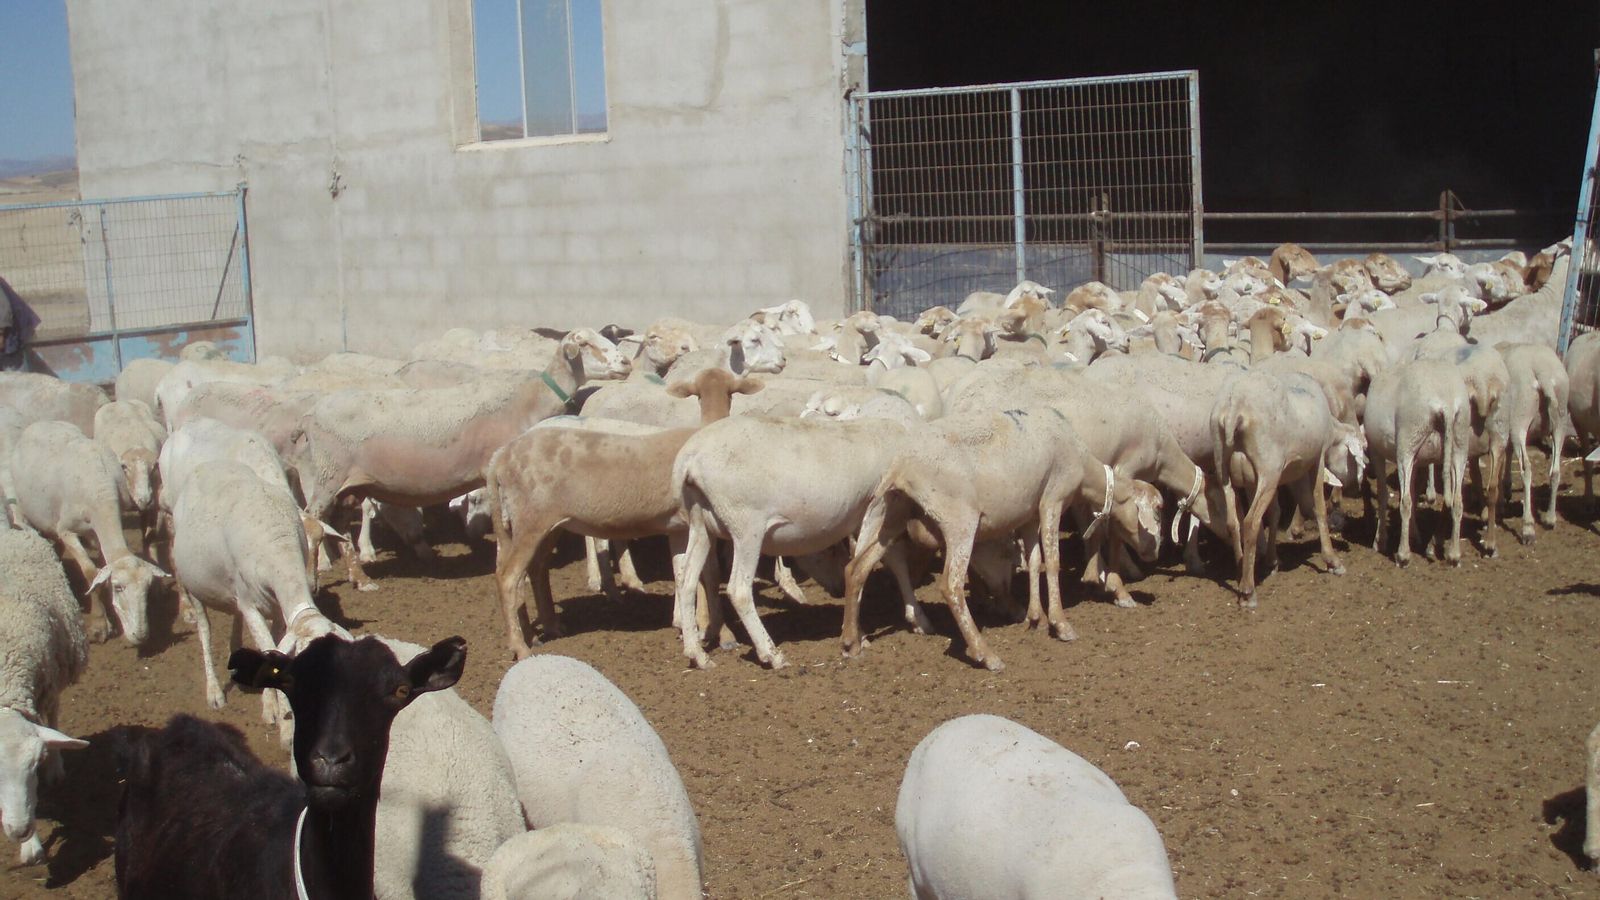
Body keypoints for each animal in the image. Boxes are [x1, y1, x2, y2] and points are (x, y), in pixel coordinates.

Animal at [12, 420, 168, 644]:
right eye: (118, 587)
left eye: (147, 588)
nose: (140, 635)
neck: (101, 493)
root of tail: (41, 422)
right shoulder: (67, 531)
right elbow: (91, 572)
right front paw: (100, 624)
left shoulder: (96, 533)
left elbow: (101, 570)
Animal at [1211, 371, 1367, 607]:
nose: (1355, 488)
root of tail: (1233, 409)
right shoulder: (1317, 459)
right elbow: (1317, 507)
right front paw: (1332, 561)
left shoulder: (1257, 480)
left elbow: (1275, 513)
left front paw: (1272, 561)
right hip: (1268, 468)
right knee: (1251, 522)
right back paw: (1248, 591)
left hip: (1226, 471)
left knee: (1233, 522)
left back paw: (1240, 571)